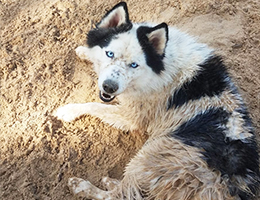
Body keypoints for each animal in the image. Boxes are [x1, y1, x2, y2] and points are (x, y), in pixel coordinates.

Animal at [55, 1, 260, 200]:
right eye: (109, 54)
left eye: (134, 65)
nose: (109, 87)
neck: (162, 63)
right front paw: (84, 51)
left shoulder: (131, 115)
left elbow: (94, 105)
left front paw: (68, 111)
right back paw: (109, 181)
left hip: (152, 153)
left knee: (121, 195)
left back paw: (81, 186)